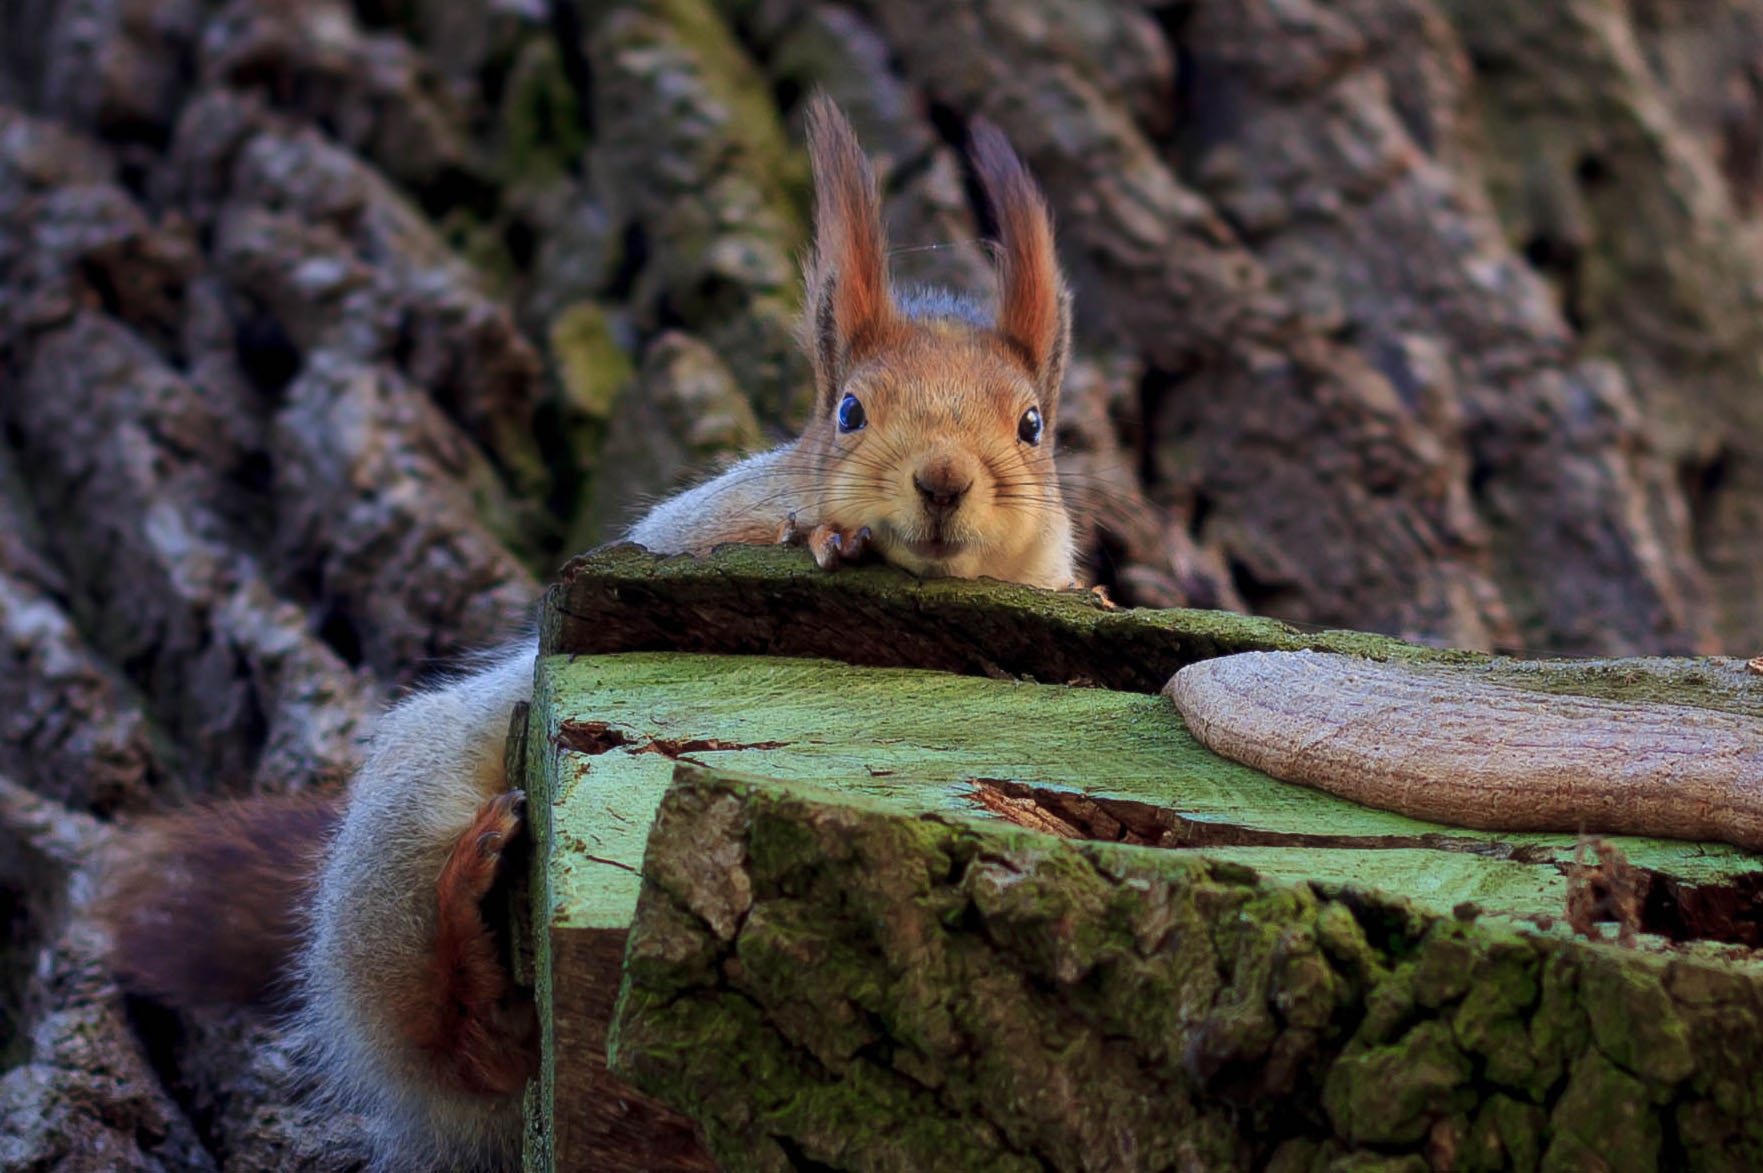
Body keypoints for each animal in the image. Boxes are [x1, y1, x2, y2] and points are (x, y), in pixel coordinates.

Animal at [103, 100, 1078, 1171]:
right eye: (850, 411)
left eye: (1033, 425)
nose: (943, 480)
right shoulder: (687, 535)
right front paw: (828, 535)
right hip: (397, 840)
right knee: (438, 1036)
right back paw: (472, 943)